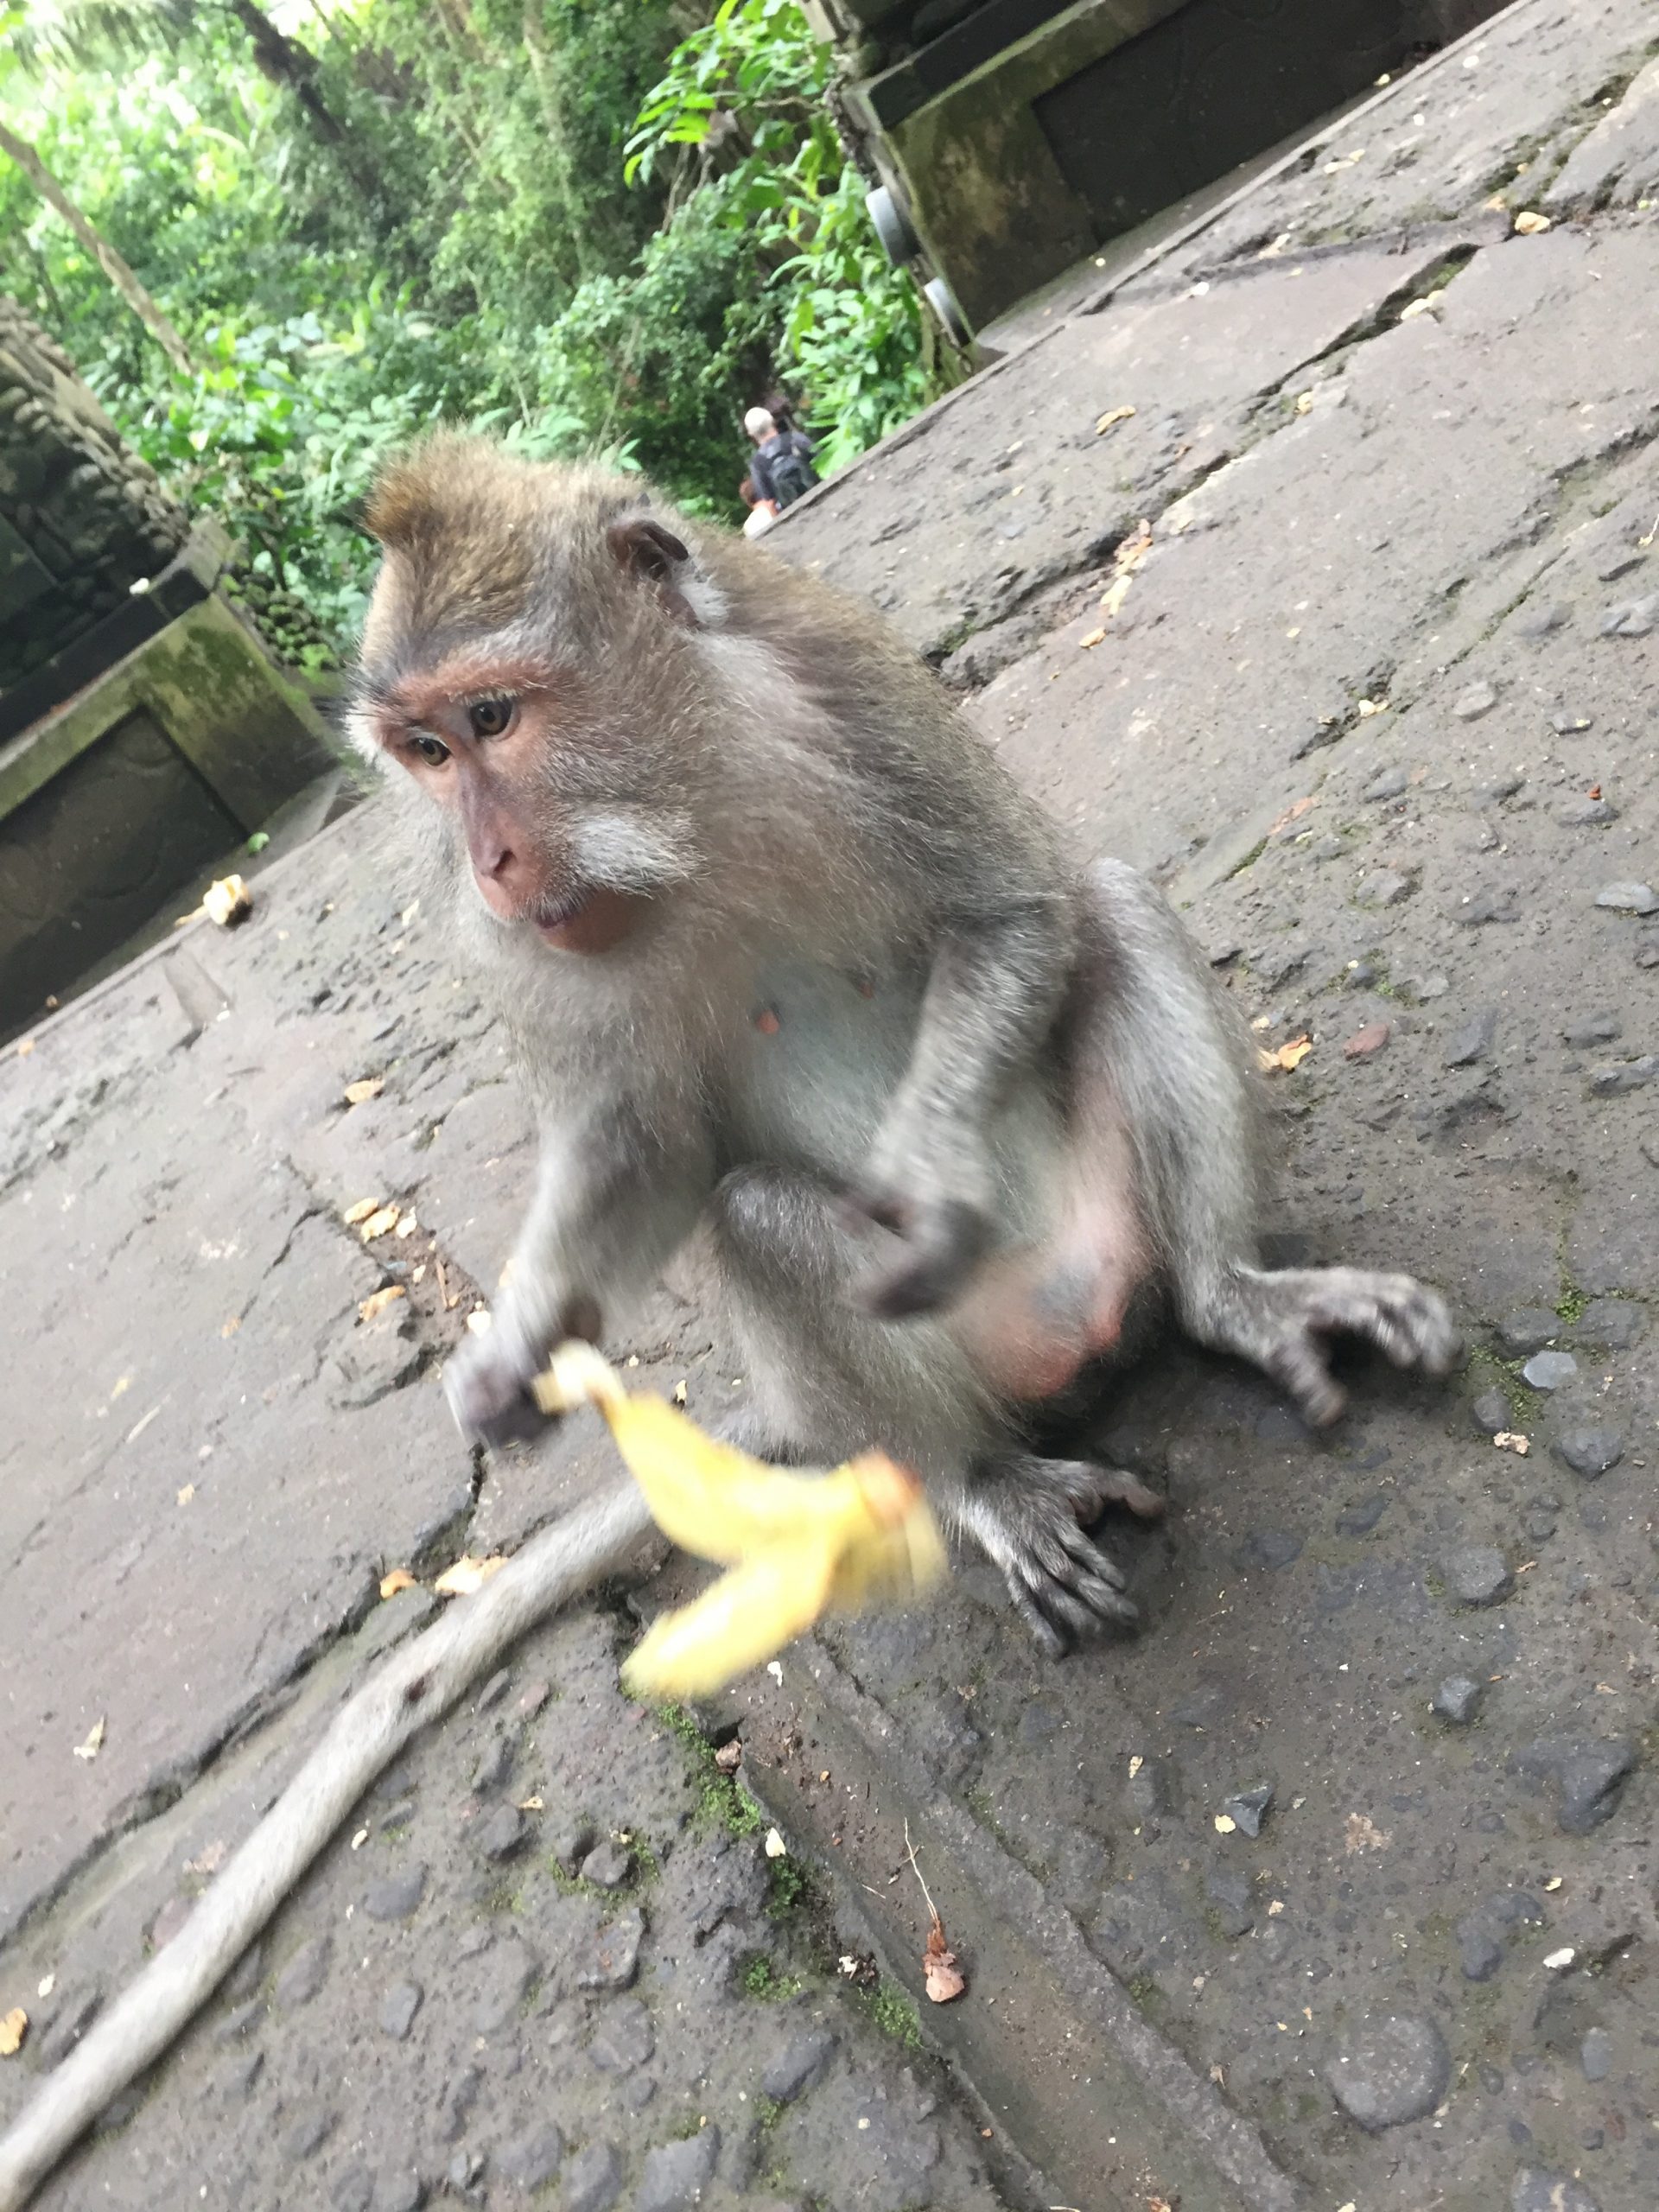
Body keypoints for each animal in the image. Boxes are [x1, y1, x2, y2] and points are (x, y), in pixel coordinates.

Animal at [349, 432, 1458, 1654]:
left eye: (494, 718)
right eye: (427, 751)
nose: (489, 859)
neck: (686, 798)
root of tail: (1080, 1319)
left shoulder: (845, 676)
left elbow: (1017, 914)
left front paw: (929, 1176)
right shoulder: (508, 946)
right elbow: (644, 1149)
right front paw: (520, 1347)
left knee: (1115, 916)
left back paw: (1236, 1295)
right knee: (761, 1220)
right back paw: (984, 1482)